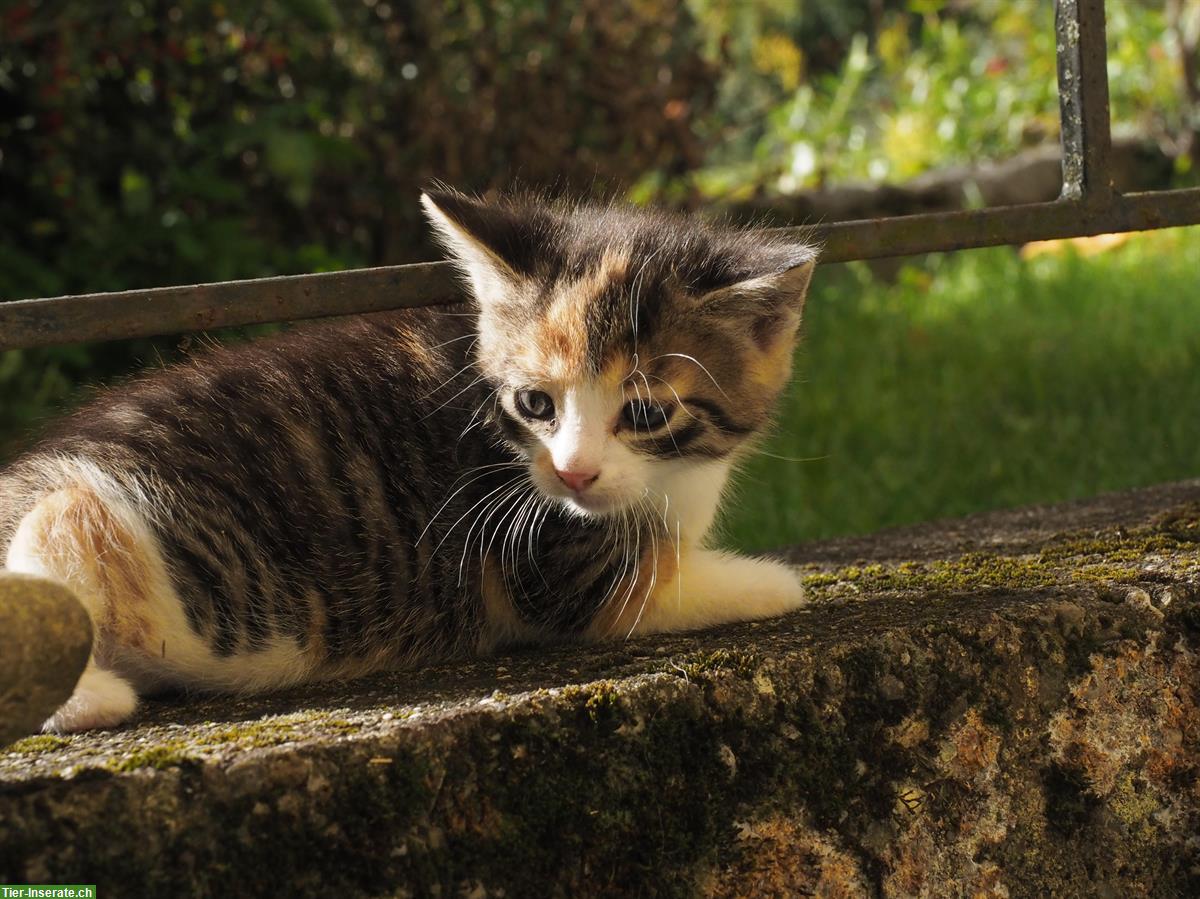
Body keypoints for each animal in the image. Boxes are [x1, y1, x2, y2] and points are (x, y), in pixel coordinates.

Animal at [0, 187, 816, 729]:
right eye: (535, 404)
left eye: (645, 413)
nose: (572, 472)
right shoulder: (549, 565)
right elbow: (661, 585)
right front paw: (774, 579)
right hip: (93, 511)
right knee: (60, 538)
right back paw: (88, 697)